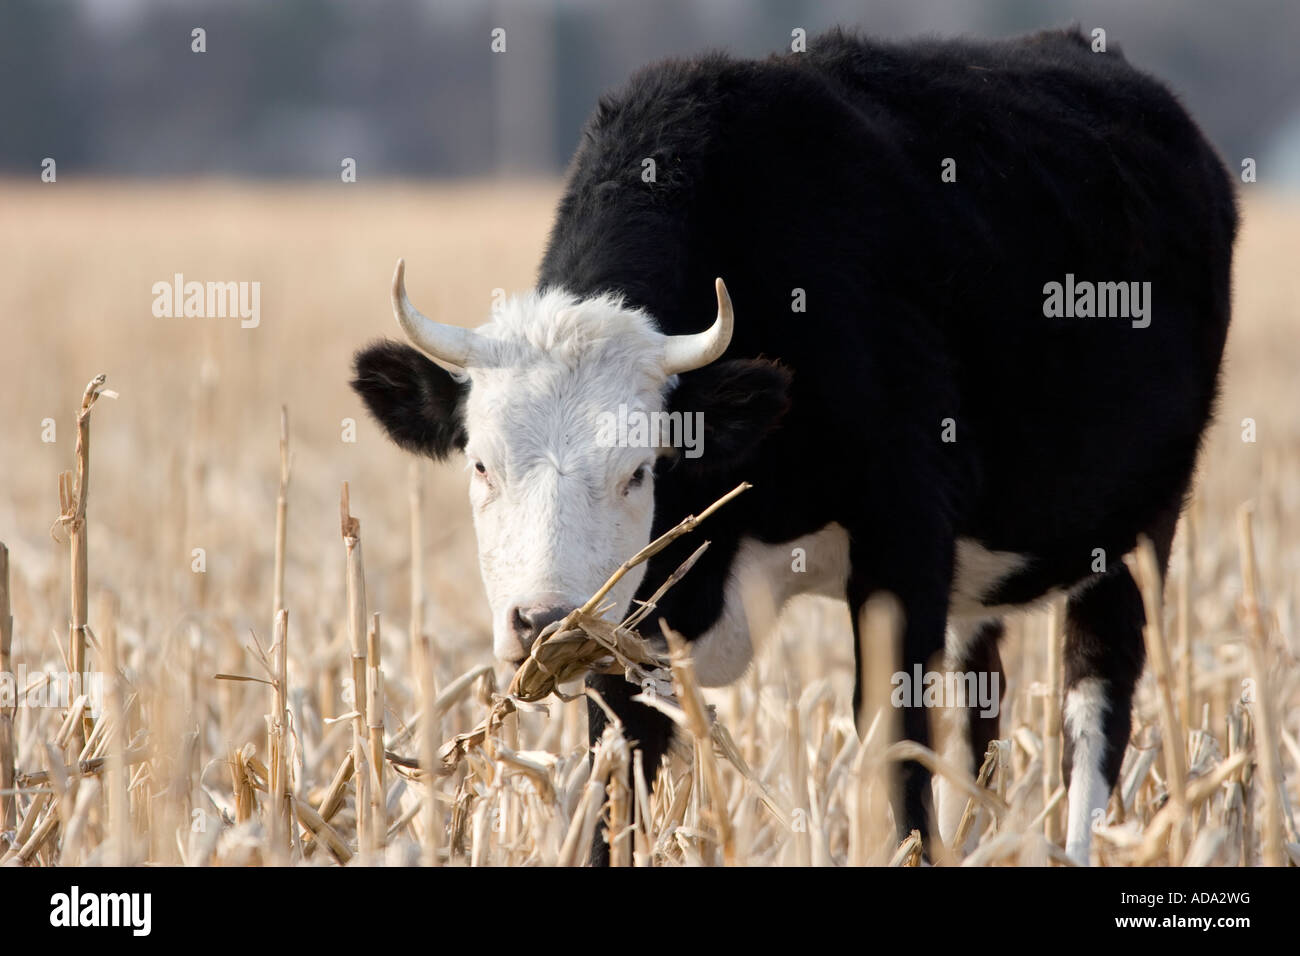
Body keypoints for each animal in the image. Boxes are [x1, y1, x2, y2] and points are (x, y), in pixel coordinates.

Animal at [351, 26, 1237, 865]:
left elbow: (896, 760)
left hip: (1134, 537)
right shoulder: (628, 629)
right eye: (480, 464)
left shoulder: (905, 538)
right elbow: (615, 782)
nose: (545, 623)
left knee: (1095, 714)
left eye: (639, 471)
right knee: (981, 716)